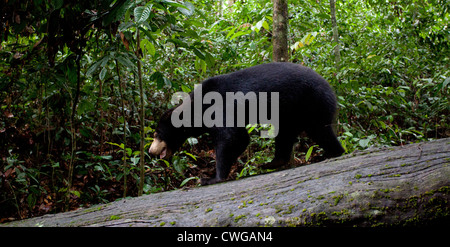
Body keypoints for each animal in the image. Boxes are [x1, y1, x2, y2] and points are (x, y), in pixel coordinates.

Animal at [149, 62, 342, 184]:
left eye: (157, 134)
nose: (151, 151)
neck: (196, 108)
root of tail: (330, 87)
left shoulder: (220, 108)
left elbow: (232, 137)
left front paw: (210, 178)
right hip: (291, 113)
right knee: (285, 135)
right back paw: (271, 163)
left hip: (312, 102)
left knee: (320, 130)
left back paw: (331, 153)